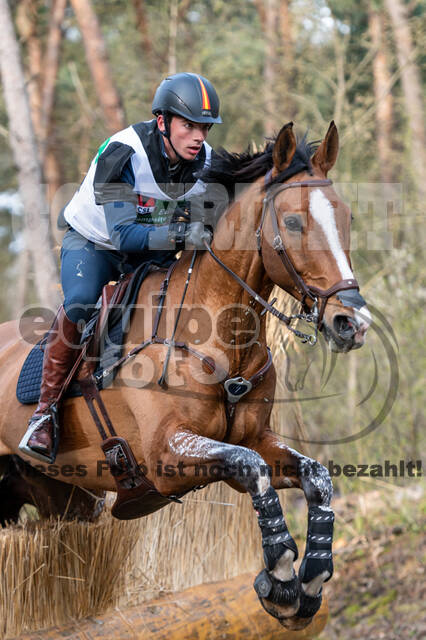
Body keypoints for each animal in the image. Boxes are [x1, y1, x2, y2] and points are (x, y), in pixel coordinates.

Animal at [0, 121, 370, 632]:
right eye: (294, 223)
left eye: (345, 217)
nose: (351, 323)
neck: (217, 333)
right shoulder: (166, 456)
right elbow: (251, 469)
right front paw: (279, 578)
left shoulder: (254, 439)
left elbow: (314, 475)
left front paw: (310, 581)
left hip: (62, 494)